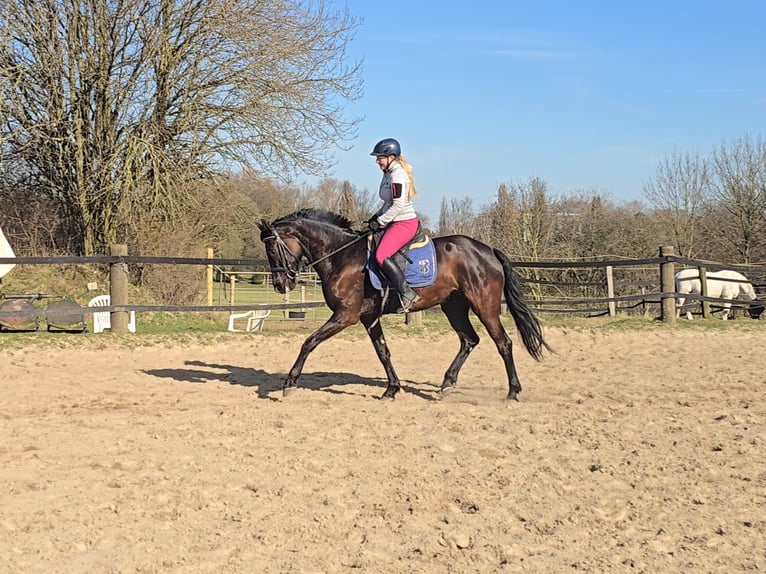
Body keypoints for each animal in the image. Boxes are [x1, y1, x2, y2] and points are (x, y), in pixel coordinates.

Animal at [258, 209, 552, 402]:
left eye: (272, 250)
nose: (280, 284)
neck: (342, 255)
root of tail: (488, 250)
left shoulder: (346, 315)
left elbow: (309, 342)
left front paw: (289, 382)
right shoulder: (368, 316)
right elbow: (383, 352)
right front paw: (392, 389)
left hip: (484, 305)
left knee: (503, 343)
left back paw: (513, 391)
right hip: (454, 307)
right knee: (469, 340)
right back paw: (447, 384)